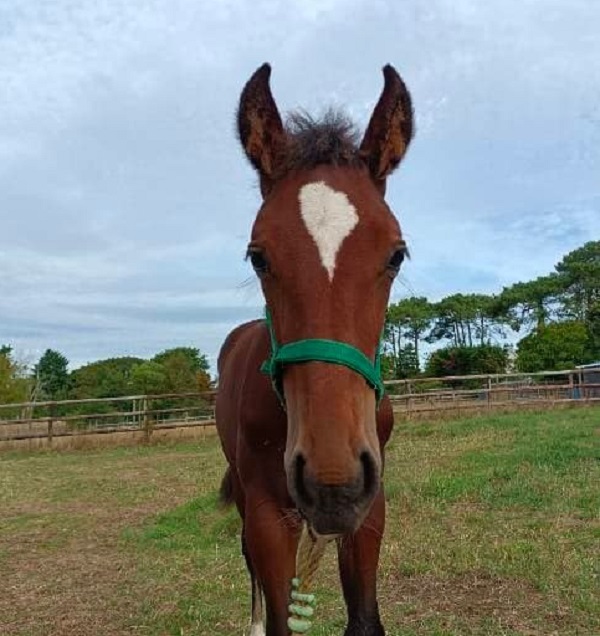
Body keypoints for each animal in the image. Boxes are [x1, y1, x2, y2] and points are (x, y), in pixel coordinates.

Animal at [216, 63, 413, 636]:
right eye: (258, 256)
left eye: (396, 254)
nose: (332, 483)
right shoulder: (266, 513)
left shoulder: (371, 506)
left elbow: (365, 619)